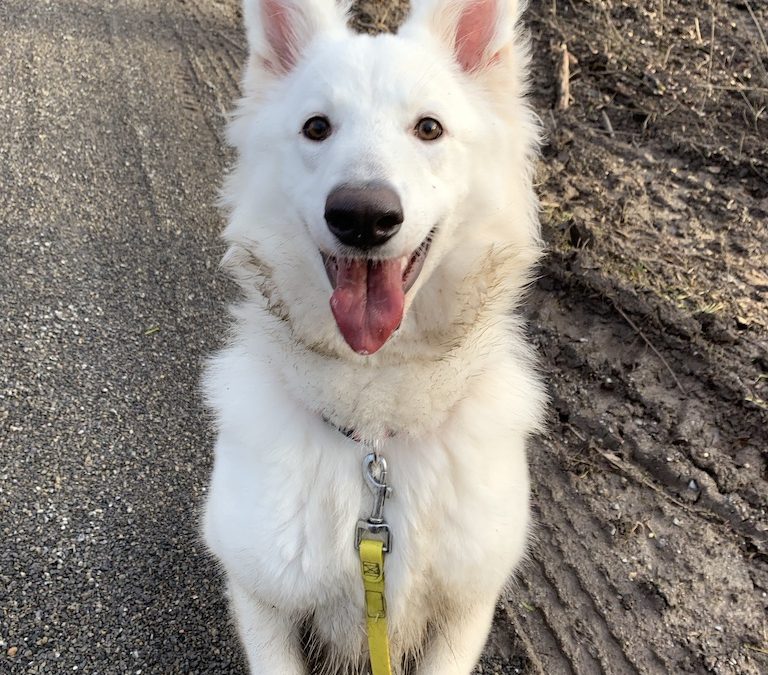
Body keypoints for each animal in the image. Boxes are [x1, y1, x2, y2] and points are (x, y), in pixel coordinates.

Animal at [201, 0, 544, 672]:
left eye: (429, 129)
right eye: (316, 128)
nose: (362, 216)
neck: (376, 437)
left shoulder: (464, 611)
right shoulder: (262, 599)